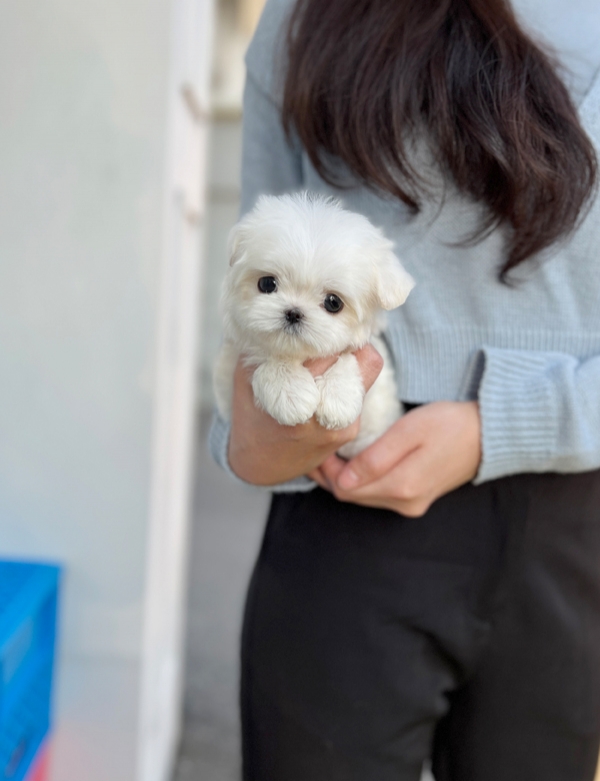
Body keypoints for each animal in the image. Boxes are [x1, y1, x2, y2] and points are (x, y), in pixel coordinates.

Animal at [213, 193, 414, 458]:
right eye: (267, 283)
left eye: (333, 302)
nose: (293, 313)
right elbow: (263, 355)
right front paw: (290, 392)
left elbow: (348, 356)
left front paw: (338, 398)